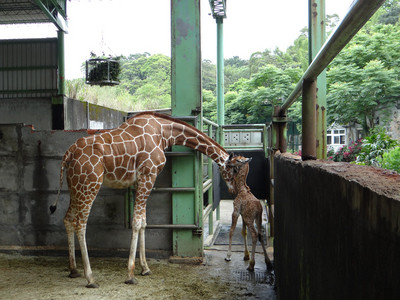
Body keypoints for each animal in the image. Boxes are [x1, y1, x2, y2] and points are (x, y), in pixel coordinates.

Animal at [50, 111, 244, 288]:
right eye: (234, 170)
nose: (233, 191)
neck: (164, 132)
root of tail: (69, 153)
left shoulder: (142, 180)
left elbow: (143, 222)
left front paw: (145, 268)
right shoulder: (148, 175)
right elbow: (136, 223)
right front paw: (130, 275)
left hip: (75, 186)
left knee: (67, 219)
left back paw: (73, 270)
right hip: (90, 184)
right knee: (80, 224)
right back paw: (90, 278)